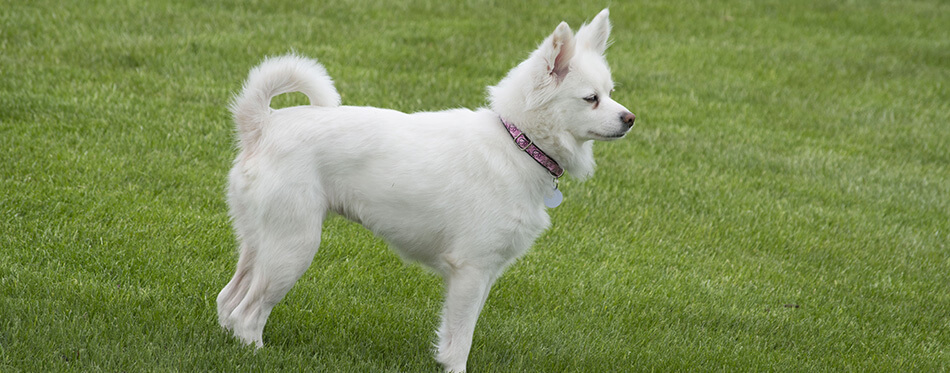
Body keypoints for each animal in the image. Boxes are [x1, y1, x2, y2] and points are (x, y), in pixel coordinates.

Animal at [215, 9, 632, 372]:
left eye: (610, 92)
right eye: (591, 98)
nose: (630, 119)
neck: (517, 142)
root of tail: (262, 124)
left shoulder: (483, 275)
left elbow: (453, 334)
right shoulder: (470, 271)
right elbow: (460, 341)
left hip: (259, 245)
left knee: (227, 303)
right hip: (293, 249)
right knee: (247, 315)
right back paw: (258, 354)